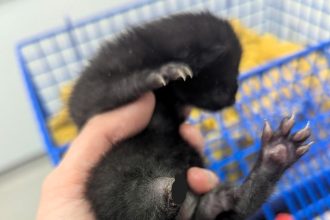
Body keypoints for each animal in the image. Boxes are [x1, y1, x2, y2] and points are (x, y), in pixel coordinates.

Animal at [69, 12, 312, 220]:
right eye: (220, 83)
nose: (232, 99)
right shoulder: (92, 92)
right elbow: (104, 92)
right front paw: (159, 73)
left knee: (226, 205)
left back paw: (275, 155)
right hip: (114, 185)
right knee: (139, 202)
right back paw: (164, 190)